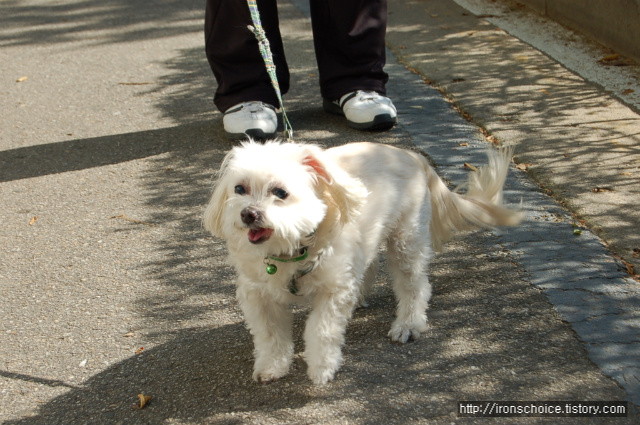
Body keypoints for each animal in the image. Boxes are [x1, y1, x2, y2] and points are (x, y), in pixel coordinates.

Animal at [202, 140, 524, 384]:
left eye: (280, 192)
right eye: (239, 189)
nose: (248, 214)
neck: (292, 249)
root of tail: (412, 155)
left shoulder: (333, 290)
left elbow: (321, 329)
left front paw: (322, 368)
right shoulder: (258, 295)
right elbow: (269, 335)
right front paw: (272, 366)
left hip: (406, 240)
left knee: (414, 285)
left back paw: (408, 323)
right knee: (369, 265)